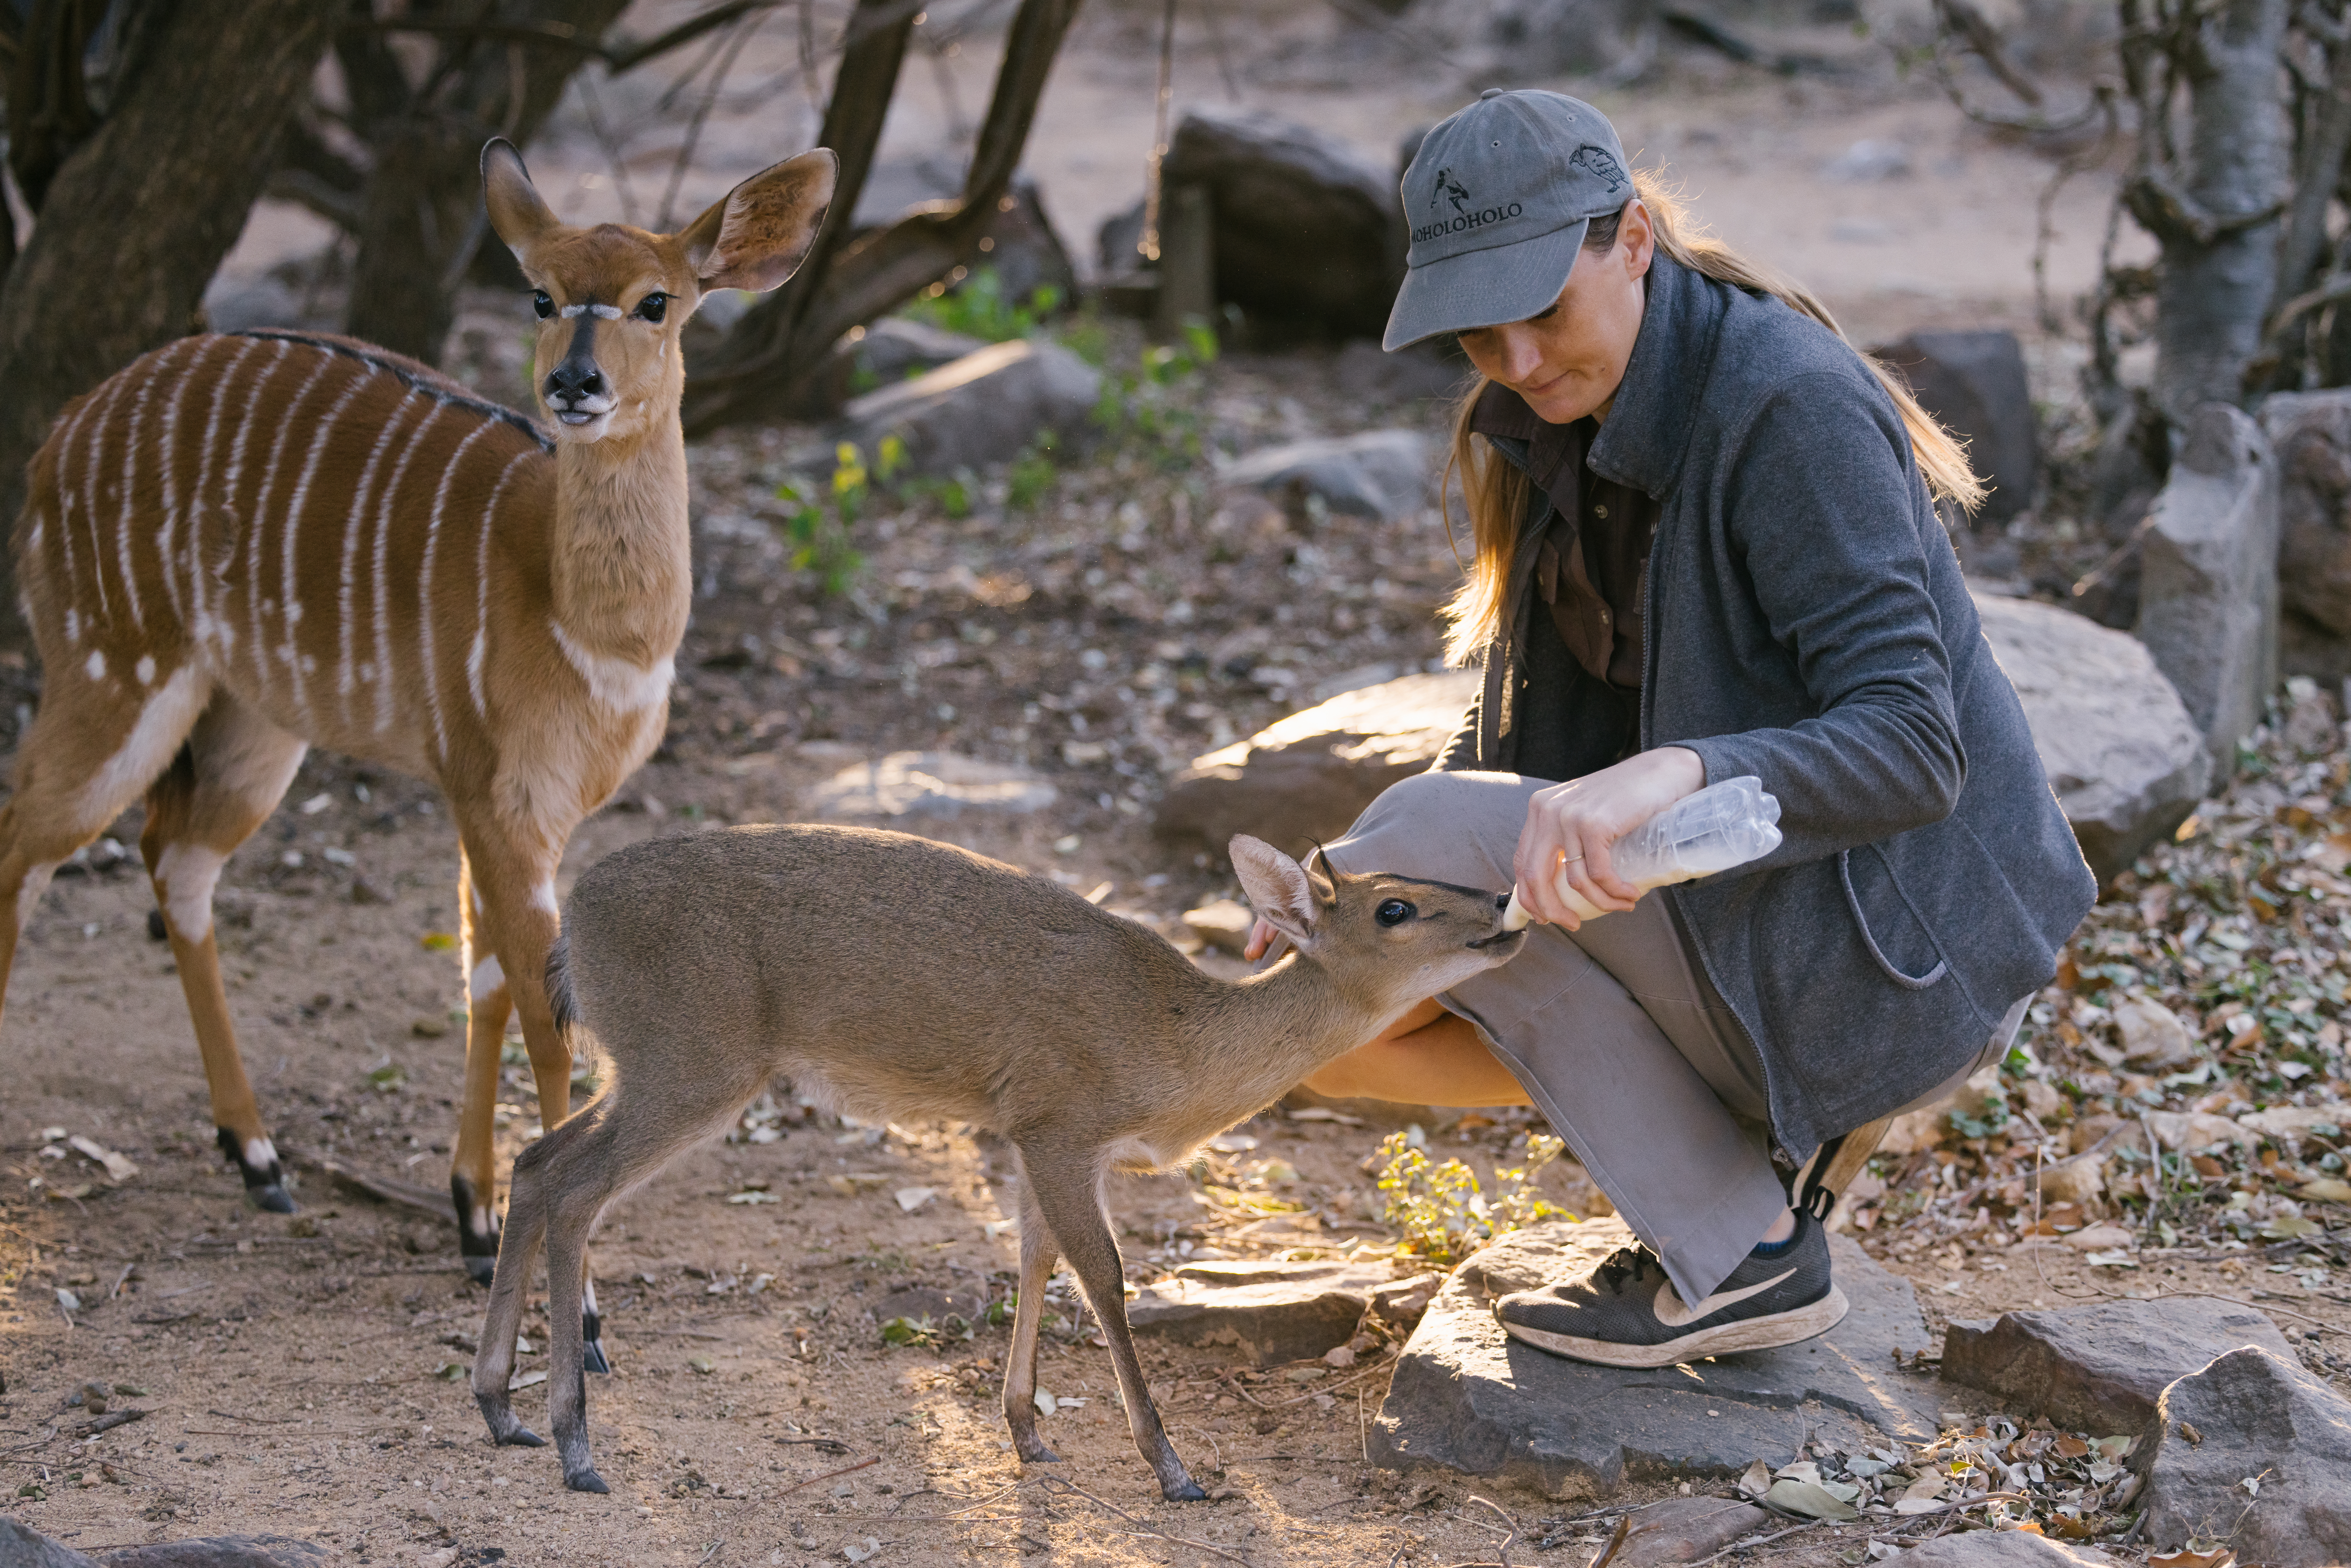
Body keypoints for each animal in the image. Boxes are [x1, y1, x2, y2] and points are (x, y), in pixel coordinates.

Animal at [0, 139, 837, 1363]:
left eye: (657, 301)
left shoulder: (505, 803)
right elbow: (545, 1022)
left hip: (253, 724)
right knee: (25, 844)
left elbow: (484, 981)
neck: (590, 627)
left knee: (178, 862)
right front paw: (580, 1311)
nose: (573, 386)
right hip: (114, 675)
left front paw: (473, 1220)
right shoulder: (500, 800)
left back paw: (258, 1157)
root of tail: (60, 434)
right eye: (539, 295)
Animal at [470, 825, 1526, 1500]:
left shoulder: (1027, 1131)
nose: (1506, 901)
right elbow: (1103, 1273)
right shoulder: (1061, 1121)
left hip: (653, 1062)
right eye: (1395, 905)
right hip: (690, 1057)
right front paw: (1173, 1467)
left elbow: (1033, 1257)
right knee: (573, 1187)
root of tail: (574, 926)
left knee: (534, 1158)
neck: (1175, 1048)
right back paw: (573, 1442)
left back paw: (498, 1408)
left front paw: (1026, 1430)